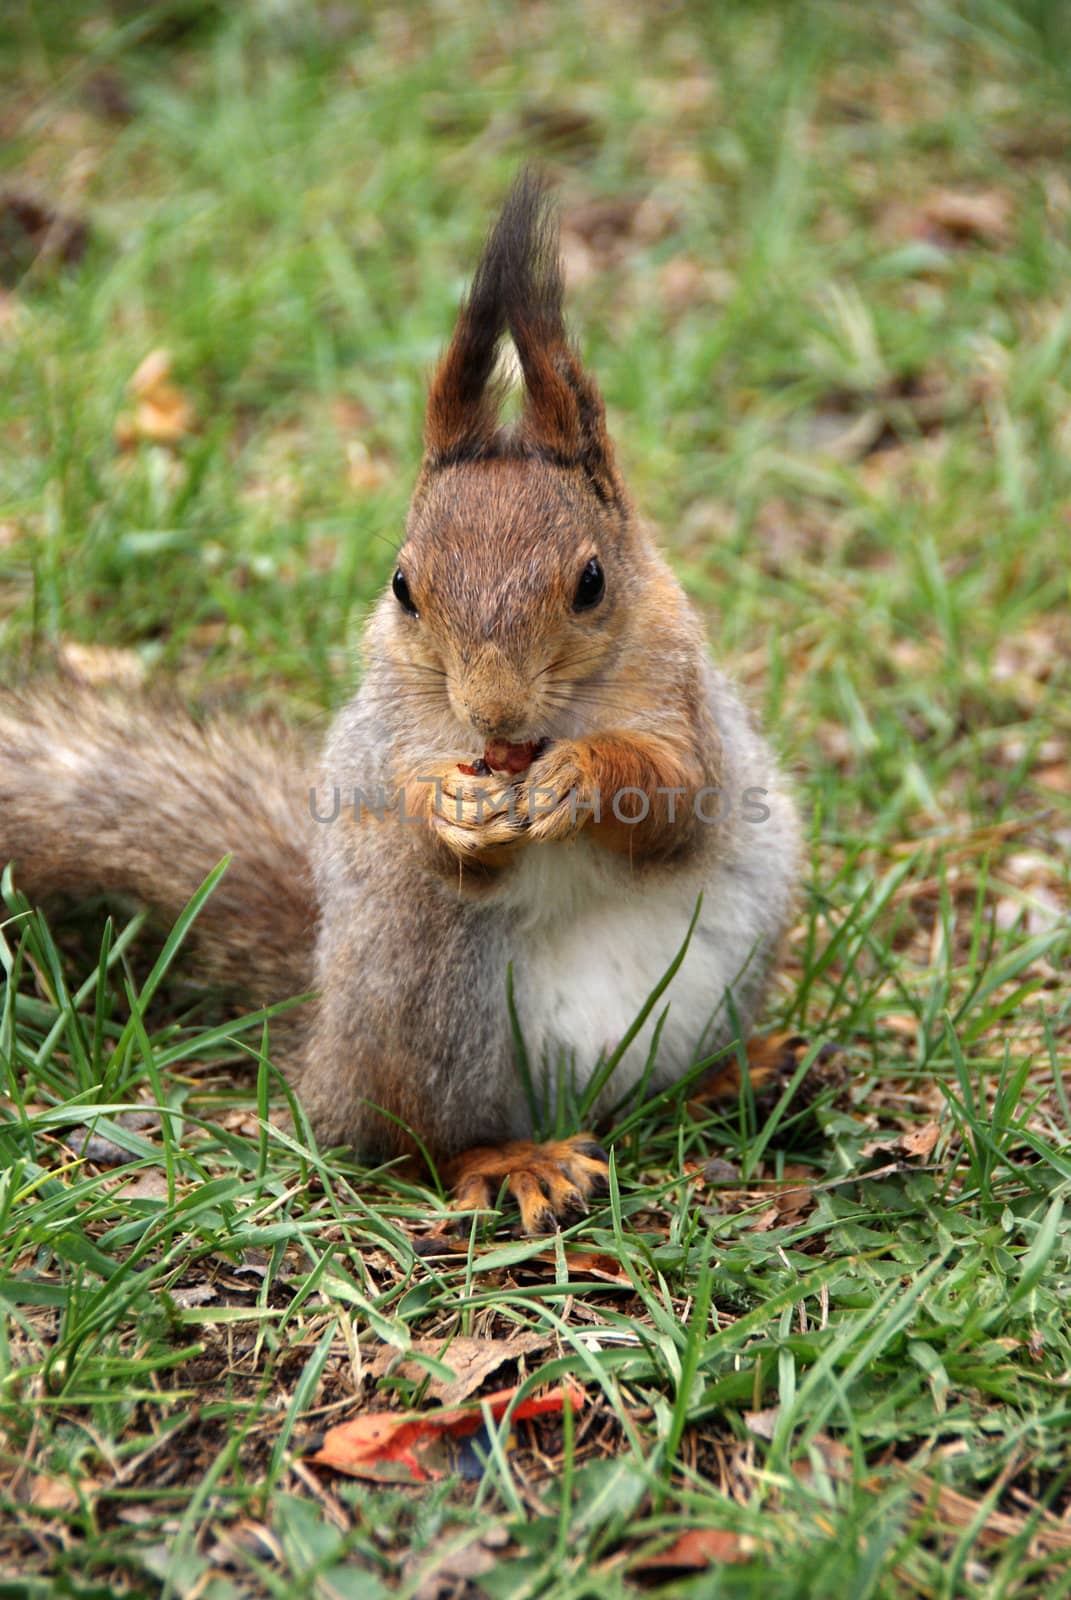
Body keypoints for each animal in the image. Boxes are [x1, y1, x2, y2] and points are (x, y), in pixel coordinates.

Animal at [0, 168, 800, 1228]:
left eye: (591, 582)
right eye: (402, 586)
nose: (494, 719)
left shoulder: (683, 702)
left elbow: (677, 800)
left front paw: (583, 777)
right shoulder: (386, 732)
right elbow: (401, 805)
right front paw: (452, 805)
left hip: (715, 965)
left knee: (651, 1090)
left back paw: (735, 1073)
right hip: (421, 1006)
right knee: (409, 1146)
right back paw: (512, 1161)